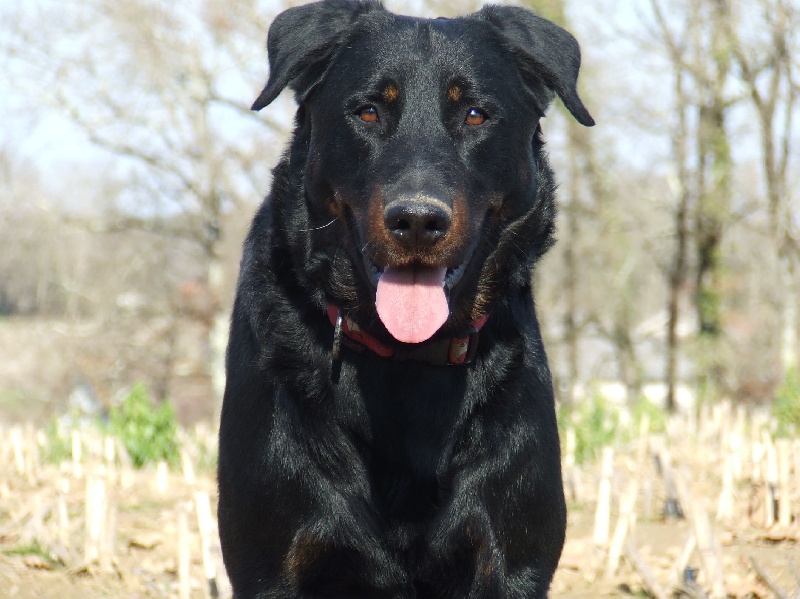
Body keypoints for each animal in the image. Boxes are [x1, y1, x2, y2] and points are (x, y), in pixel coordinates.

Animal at [219, 2, 592, 596]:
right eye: (369, 112)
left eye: (476, 115)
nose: (417, 220)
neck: (406, 360)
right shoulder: (272, 564)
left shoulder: (511, 561)